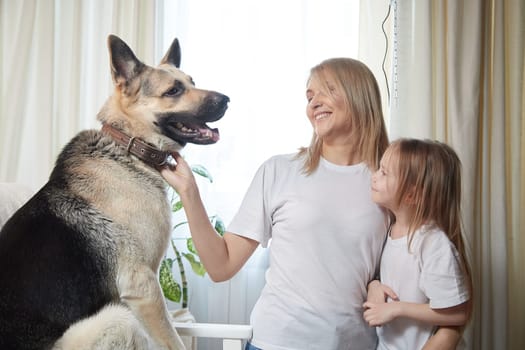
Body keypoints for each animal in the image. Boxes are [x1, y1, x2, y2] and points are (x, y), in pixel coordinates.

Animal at [0, 34, 229, 348]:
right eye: (174, 90)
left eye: (192, 82)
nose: (227, 100)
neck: (127, 146)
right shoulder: (144, 285)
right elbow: (173, 340)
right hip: (119, 318)